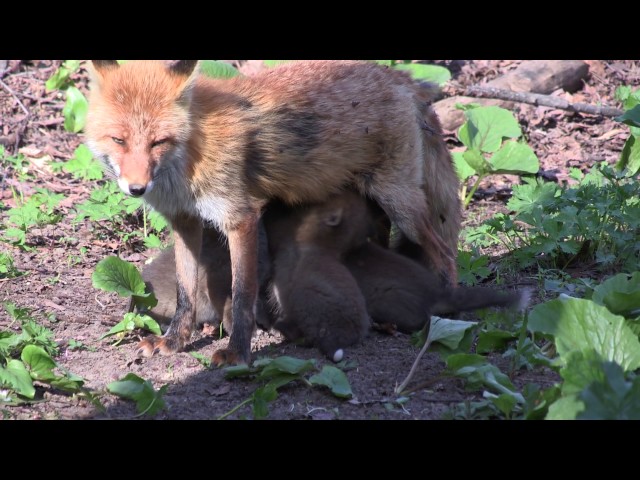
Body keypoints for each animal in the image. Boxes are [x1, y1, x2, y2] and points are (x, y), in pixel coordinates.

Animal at [85, 60, 461, 365]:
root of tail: (398, 76)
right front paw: (174, 341)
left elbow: (242, 294)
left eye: (158, 142)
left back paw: (445, 314)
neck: (191, 154)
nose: (136, 189)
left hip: (401, 204)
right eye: (119, 140)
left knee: (444, 253)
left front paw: (238, 352)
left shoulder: (240, 218)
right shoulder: (185, 221)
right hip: (373, 197)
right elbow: (185, 293)